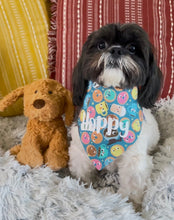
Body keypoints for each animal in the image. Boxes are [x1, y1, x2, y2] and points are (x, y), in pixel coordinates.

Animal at [68, 22, 163, 205]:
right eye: (101, 45)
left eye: (132, 48)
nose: (116, 50)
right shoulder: (80, 150)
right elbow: (82, 173)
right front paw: (84, 188)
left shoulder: (134, 162)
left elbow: (132, 187)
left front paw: (130, 205)